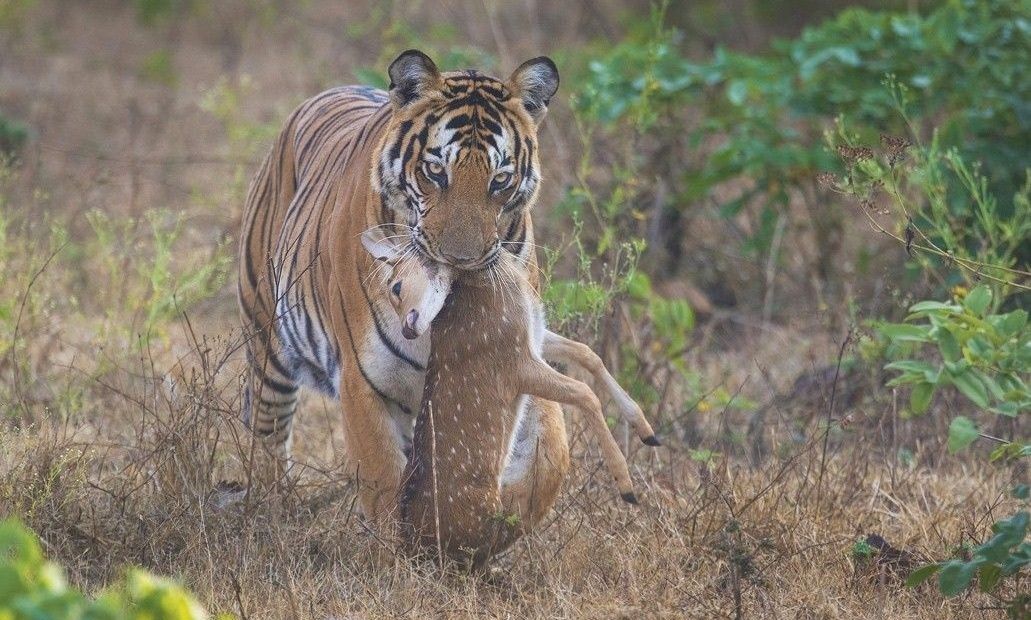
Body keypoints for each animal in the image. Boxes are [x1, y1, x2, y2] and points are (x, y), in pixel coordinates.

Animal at [237, 50, 567, 522]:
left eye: (500, 179)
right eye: (435, 170)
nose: (462, 260)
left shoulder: (519, 353)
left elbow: (551, 454)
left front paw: (504, 518)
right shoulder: (365, 380)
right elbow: (384, 489)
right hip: (268, 342)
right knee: (267, 435)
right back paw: (269, 513)